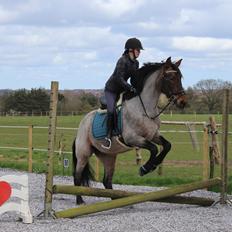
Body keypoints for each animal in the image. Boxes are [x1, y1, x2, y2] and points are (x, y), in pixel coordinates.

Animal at [72, 57, 187, 204]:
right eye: (171, 78)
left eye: (180, 77)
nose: (182, 102)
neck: (144, 109)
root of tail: (82, 124)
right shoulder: (132, 138)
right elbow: (154, 148)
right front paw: (145, 168)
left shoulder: (153, 135)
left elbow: (167, 145)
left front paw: (153, 165)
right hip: (83, 154)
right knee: (77, 176)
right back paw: (80, 200)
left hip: (108, 156)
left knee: (107, 180)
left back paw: (115, 200)